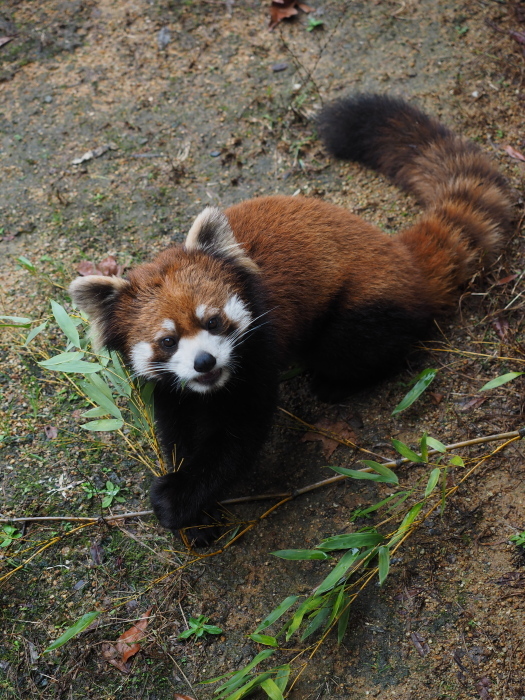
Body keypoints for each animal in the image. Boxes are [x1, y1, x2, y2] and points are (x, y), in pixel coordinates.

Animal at [68, 93, 512, 544]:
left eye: (213, 322)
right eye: (168, 341)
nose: (205, 362)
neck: (211, 388)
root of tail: (401, 251)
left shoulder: (258, 350)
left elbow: (237, 438)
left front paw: (180, 498)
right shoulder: (172, 388)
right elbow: (178, 431)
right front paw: (196, 514)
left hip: (360, 307)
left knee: (358, 349)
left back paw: (335, 382)